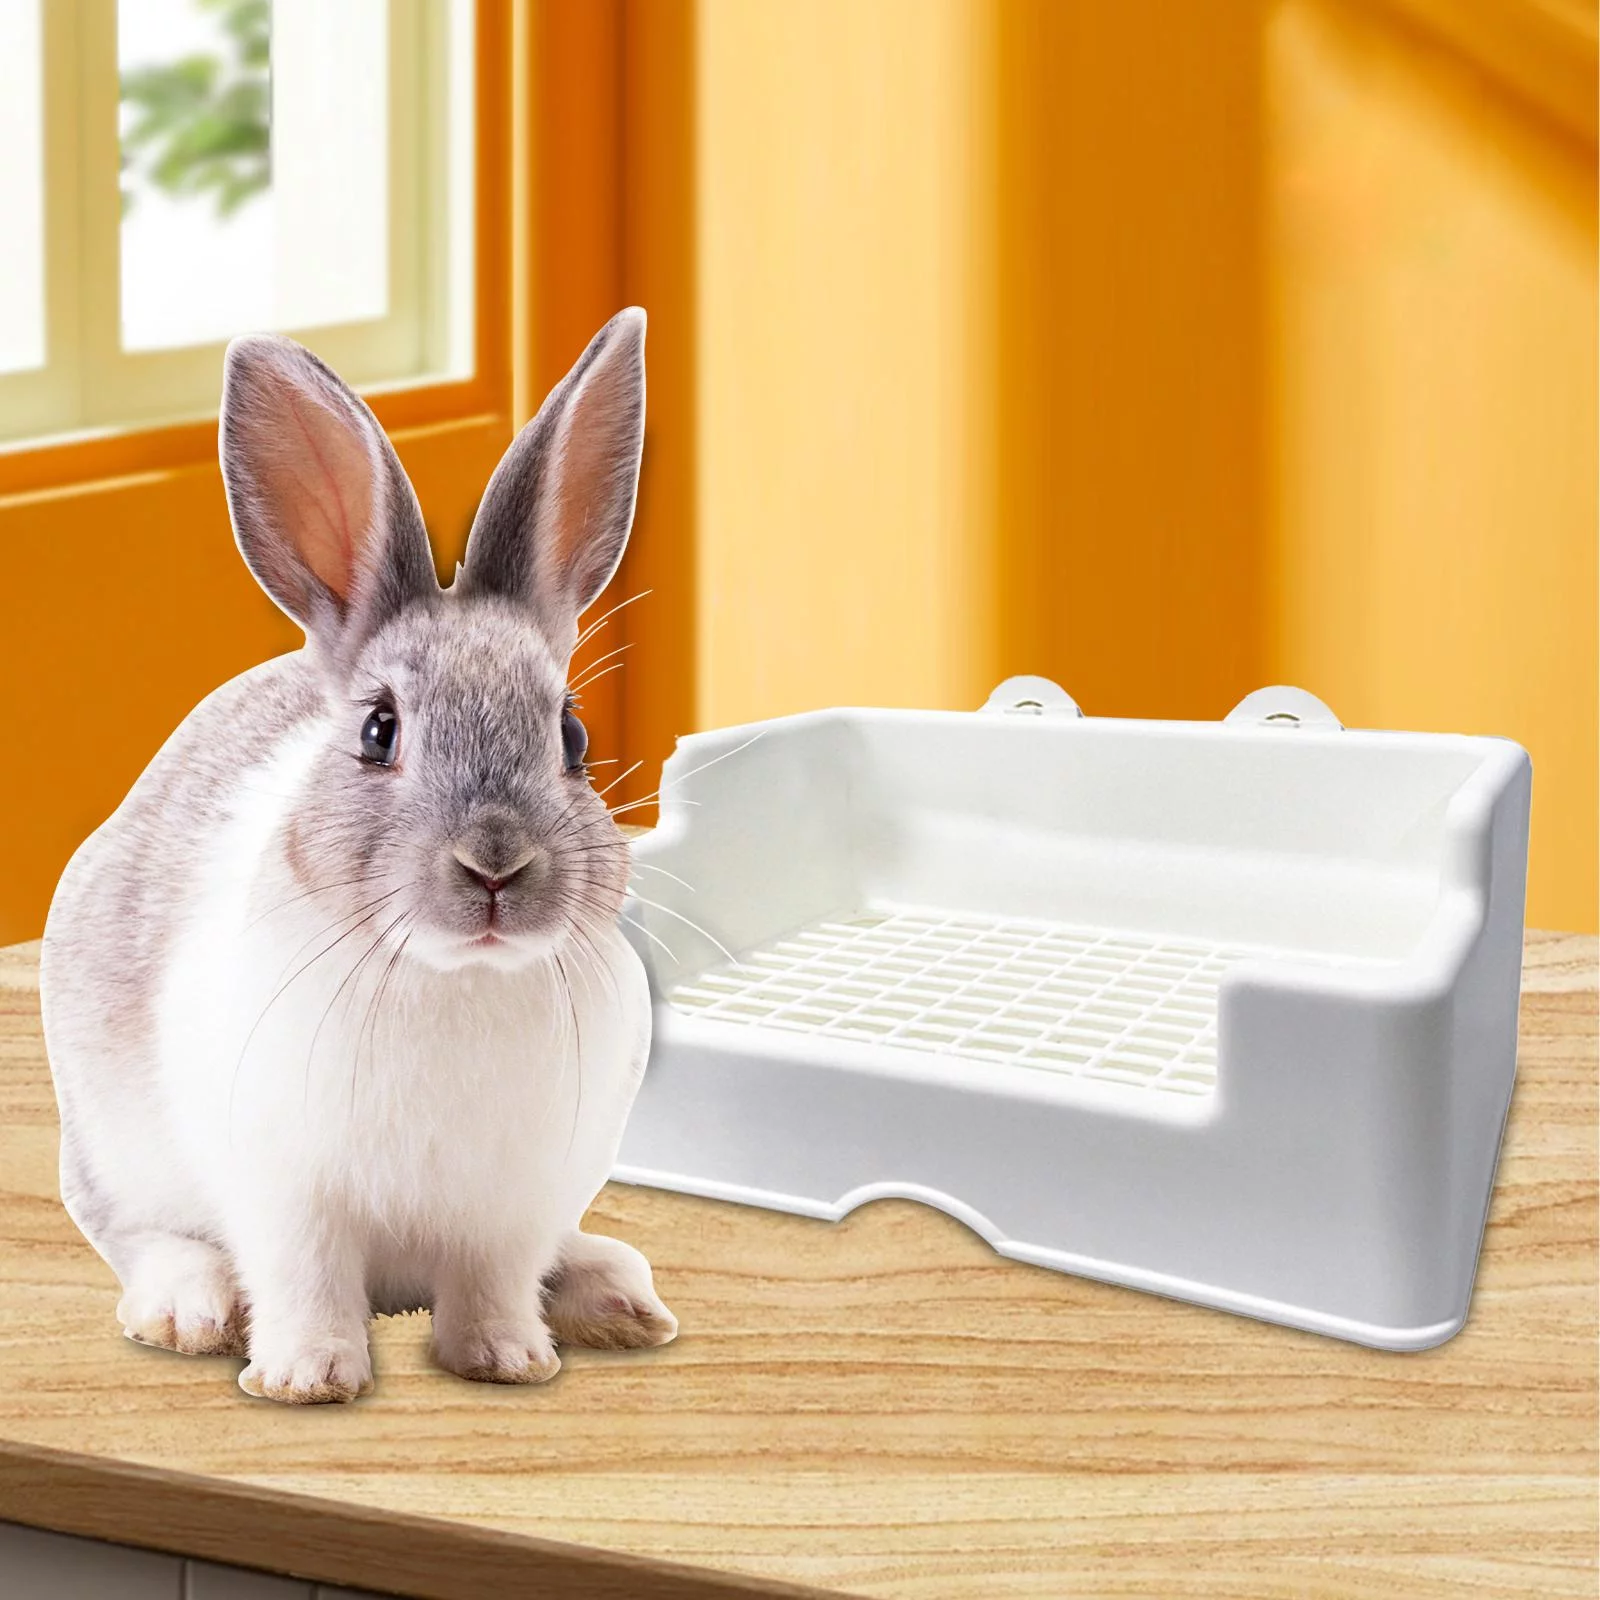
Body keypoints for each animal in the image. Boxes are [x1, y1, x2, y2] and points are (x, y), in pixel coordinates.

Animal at [38, 308, 676, 1404]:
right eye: (379, 731)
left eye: (573, 735)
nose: (495, 866)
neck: (455, 976)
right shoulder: (286, 1191)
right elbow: (306, 1278)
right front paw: (307, 1378)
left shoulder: (510, 1204)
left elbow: (494, 1282)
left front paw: (507, 1362)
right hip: (113, 1146)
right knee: (136, 1233)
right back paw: (189, 1309)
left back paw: (615, 1297)